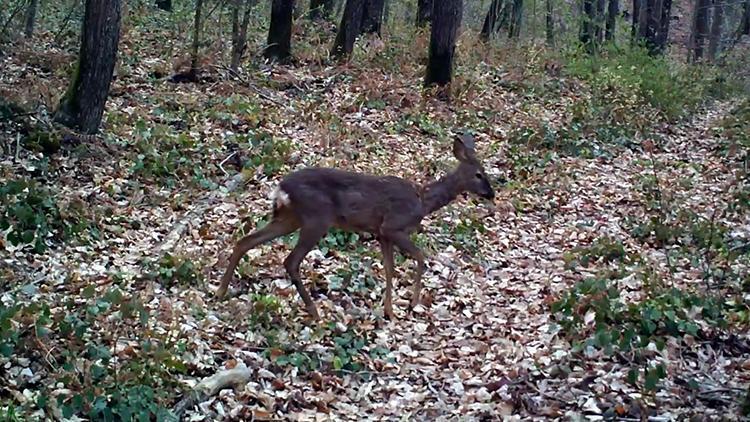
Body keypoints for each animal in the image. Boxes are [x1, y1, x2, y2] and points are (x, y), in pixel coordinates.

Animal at [217, 134, 496, 318]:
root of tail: (280, 188)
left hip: (289, 218)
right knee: (290, 261)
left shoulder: (381, 233)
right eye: (479, 174)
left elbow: (389, 269)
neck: (422, 201)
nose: (491, 193)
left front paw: (389, 310)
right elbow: (420, 257)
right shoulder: (394, 227)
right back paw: (314, 310)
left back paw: (221, 290)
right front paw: (413, 303)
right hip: (316, 219)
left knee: (245, 241)